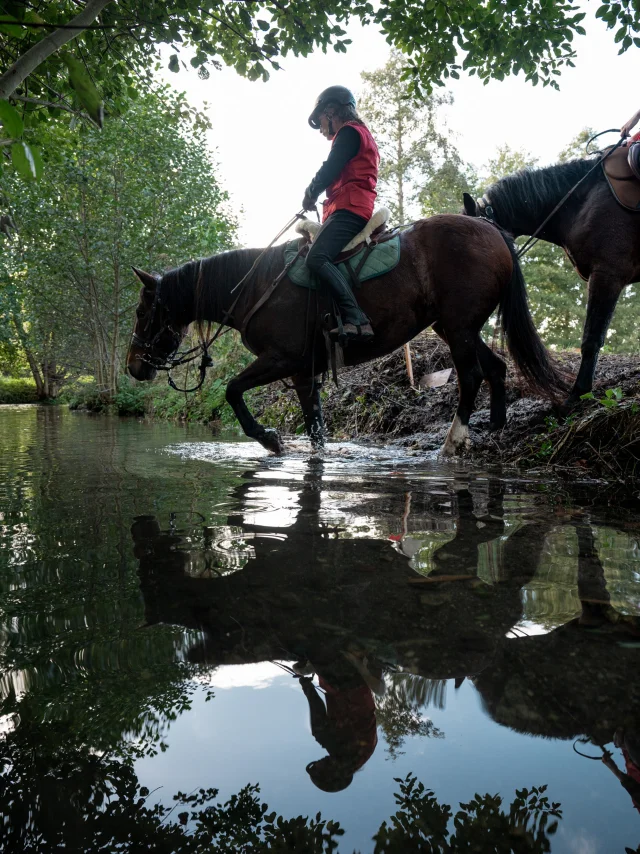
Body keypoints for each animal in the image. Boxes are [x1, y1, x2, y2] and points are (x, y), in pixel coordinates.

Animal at [126, 214, 564, 458]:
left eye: (142, 312)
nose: (133, 367)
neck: (255, 285)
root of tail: (493, 232)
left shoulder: (282, 359)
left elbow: (233, 390)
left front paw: (268, 439)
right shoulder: (303, 372)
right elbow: (316, 428)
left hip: (458, 329)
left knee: (471, 377)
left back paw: (452, 443)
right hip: (460, 328)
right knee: (496, 367)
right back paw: (494, 428)